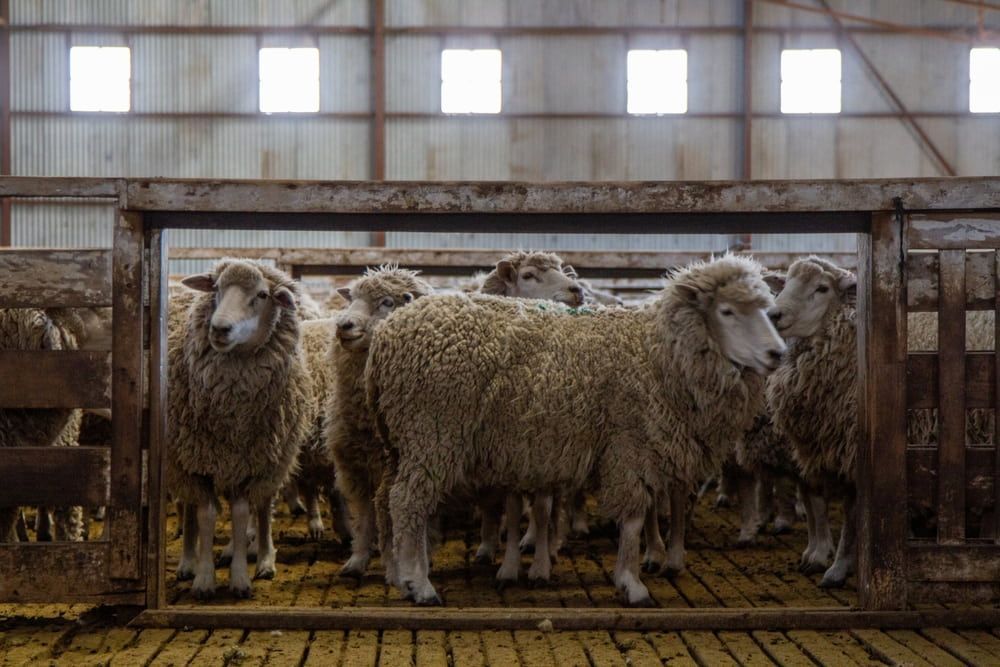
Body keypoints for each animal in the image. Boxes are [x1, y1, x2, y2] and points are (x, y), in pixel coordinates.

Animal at [168, 259, 314, 599]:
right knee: (189, 506)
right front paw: (204, 578)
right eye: (217, 288)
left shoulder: (250, 462)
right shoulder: (198, 462)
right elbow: (206, 514)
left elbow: (242, 513)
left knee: (262, 506)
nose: (219, 329)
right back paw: (189, 560)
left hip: (272, 461)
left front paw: (240, 579)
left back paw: (262, 558)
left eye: (262, 295)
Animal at [325, 265, 433, 579]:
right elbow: (364, 516)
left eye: (387, 302)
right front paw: (357, 559)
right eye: (352, 298)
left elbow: (390, 516)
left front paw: (395, 565)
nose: (343, 325)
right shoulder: (355, 467)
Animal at [367, 255, 785, 606]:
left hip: (401, 440)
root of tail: (386, 336)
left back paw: (402, 574)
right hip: (432, 431)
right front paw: (631, 583)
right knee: (407, 501)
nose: (777, 354)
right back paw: (420, 585)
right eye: (727, 311)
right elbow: (633, 520)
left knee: (390, 498)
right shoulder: (629, 446)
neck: (656, 352)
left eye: (767, 311)